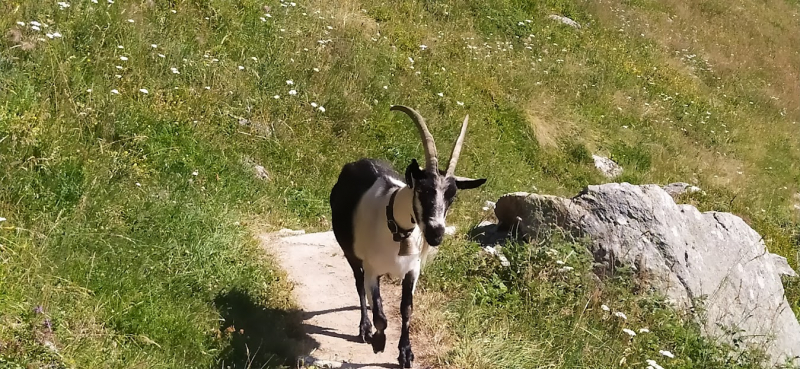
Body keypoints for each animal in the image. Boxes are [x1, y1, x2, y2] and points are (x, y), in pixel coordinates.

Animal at [328, 105, 484, 366]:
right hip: (350, 251)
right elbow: (380, 314)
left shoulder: (412, 270)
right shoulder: (372, 269)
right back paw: (364, 329)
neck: (394, 226)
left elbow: (406, 309)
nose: (436, 234)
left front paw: (405, 353)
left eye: (452, 196)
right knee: (359, 285)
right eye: (422, 190)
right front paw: (378, 342)